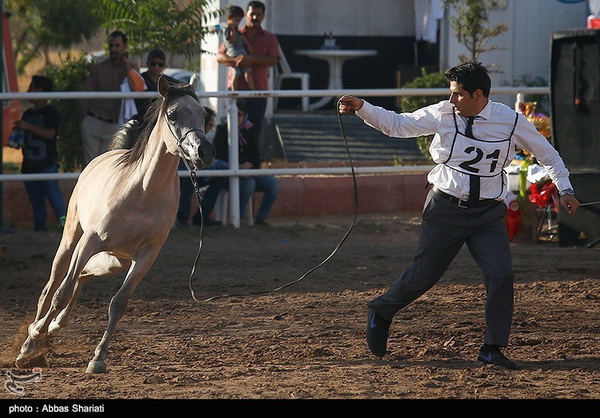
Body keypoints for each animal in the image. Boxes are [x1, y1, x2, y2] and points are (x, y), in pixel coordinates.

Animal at [15, 76, 216, 376]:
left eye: (203, 114)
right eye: (172, 114)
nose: (205, 151)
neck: (143, 192)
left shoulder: (146, 257)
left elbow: (118, 304)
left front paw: (98, 359)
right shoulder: (90, 241)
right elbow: (61, 293)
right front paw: (35, 335)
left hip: (116, 261)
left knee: (83, 275)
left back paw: (56, 325)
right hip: (72, 241)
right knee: (52, 286)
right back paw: (32, 340)